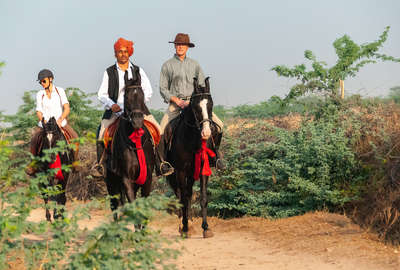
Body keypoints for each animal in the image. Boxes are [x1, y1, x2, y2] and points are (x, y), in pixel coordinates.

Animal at [104, 78, 156, 221]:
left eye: (142, 95)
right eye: (126, 96)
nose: (137, 121)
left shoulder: (147, 179)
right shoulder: (126, 179)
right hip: (111, 182)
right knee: (114, 206)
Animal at [162, 77, 220, 237]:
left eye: (211, 104)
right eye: (195, 107)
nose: (207, 132)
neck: (191, 140)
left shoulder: (202, 169)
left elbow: (203, 198)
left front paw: (206, 228)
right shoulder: (181, 171)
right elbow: (182, 199)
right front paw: (185, 228)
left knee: (187, 194)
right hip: (175, 174)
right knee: (180, 195)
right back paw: (182, 225)